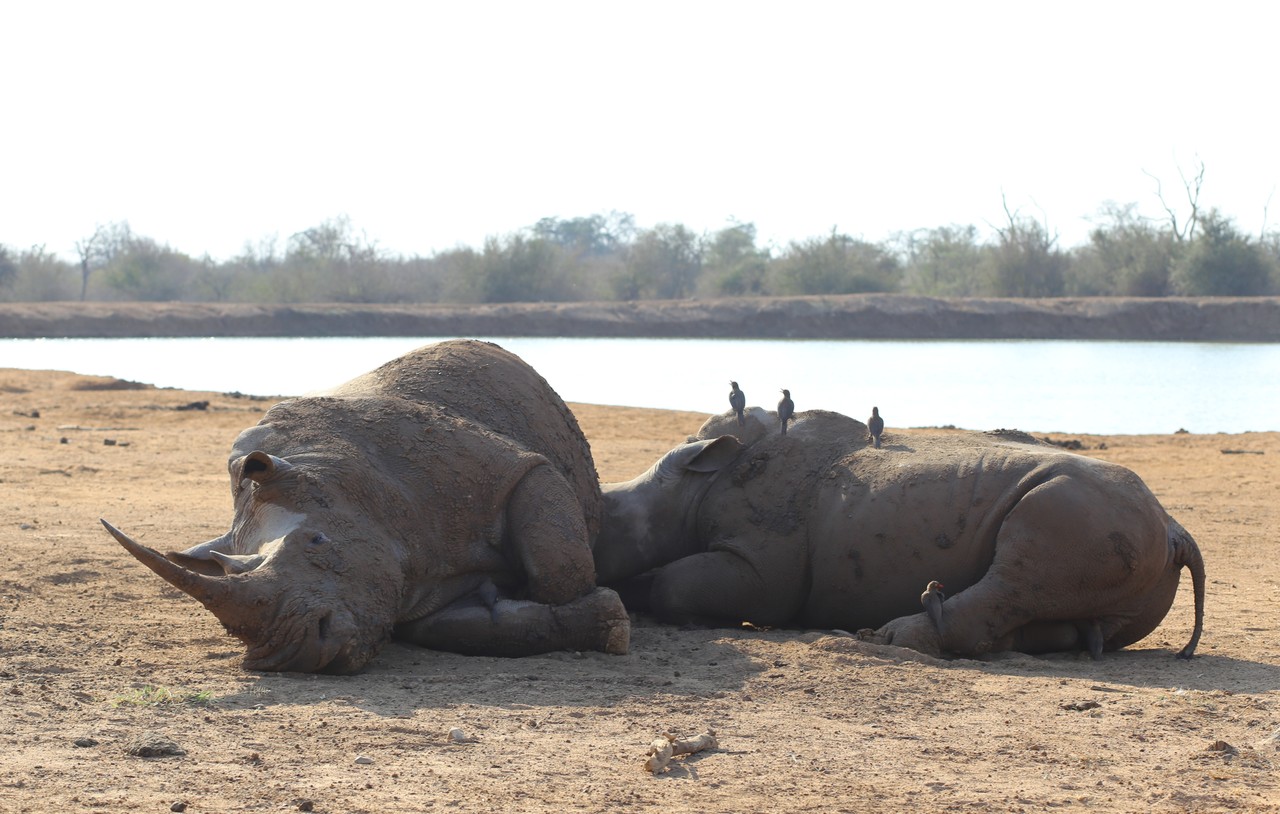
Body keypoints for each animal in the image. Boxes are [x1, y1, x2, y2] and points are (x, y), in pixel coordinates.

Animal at [103, 340, 629, 673]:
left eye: (319, 540)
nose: (293, 654)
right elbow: (459, 627)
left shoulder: (512, 469)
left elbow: (557, 570)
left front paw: (610, 627)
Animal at [594, 407, 1204, 659]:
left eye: (608, 516)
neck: (689, 490)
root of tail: (1176, 530)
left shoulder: (763, 566)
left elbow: (678, 584)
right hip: (1123, 528)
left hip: (1081, 508)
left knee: (1018, 573)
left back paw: (885, 639)